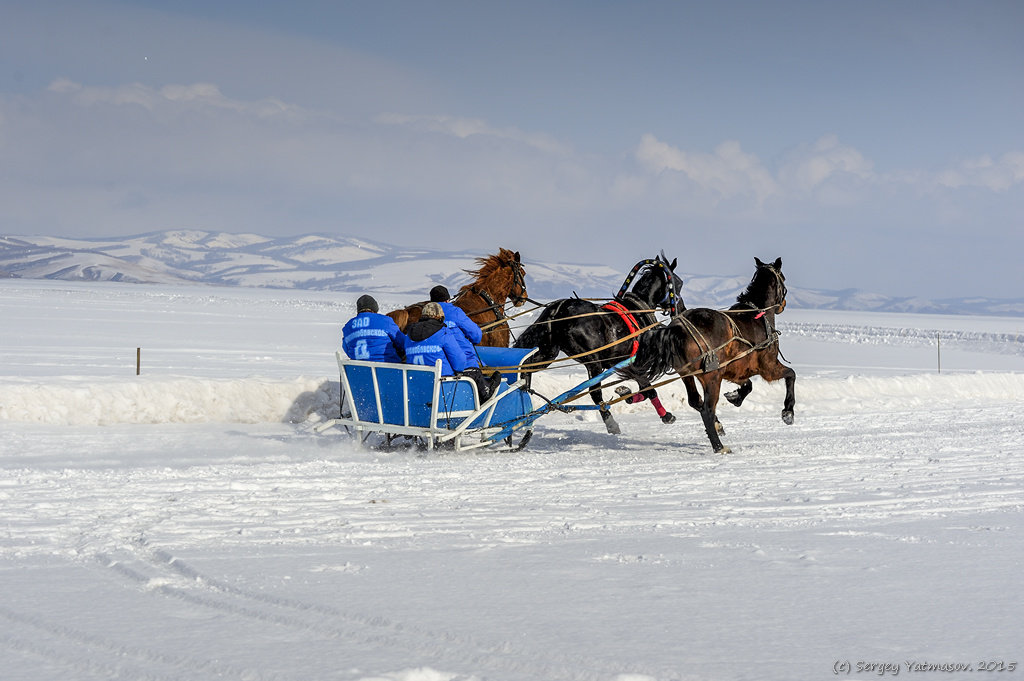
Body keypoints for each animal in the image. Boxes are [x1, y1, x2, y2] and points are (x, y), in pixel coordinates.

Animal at [512, 251, 688, 432]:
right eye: (678, 283)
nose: (682, 308)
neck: (638, 310)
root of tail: (559, 309)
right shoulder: (633, 363)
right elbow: (648, 389)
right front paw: (665, 415)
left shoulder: (620, 363)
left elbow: (644, 390)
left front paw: (625, 392)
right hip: (593, 361)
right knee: (595, 392)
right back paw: (610, 422)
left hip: (548, 353)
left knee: (527, 368)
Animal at [630, 254, 790, 450]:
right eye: (783, 278)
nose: (782, 305)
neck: (758, 314)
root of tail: (678, 328)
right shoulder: (768, 367)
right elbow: (791, 374)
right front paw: (788, 412)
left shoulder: (735, 369)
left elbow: (748, 385)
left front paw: (735, 397)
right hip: (712, 377)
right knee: (707, 409)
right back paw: (719, 446)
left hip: (687, 374)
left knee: (695, 401)